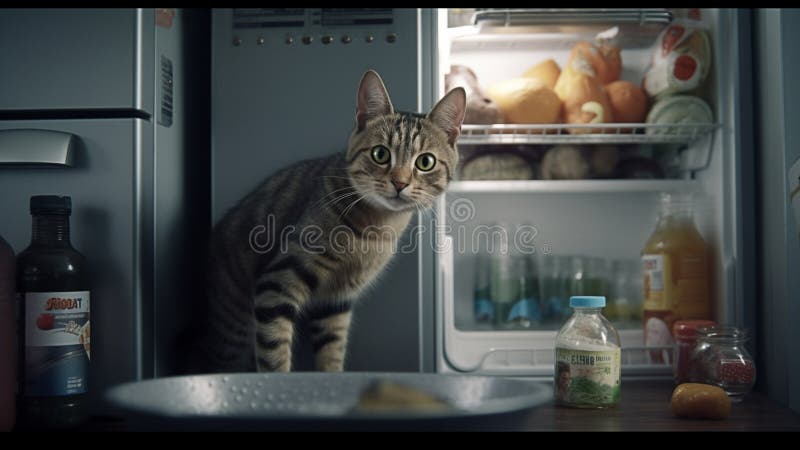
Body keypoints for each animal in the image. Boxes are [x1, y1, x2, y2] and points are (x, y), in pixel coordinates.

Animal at [197, 71, 466, 372]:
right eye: (380, 154)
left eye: (425, 162)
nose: (400, 183)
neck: (376, 230)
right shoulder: (278, 283)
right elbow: (274, 355)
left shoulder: (335, 302)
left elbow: (332, 353)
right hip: (230, 335)